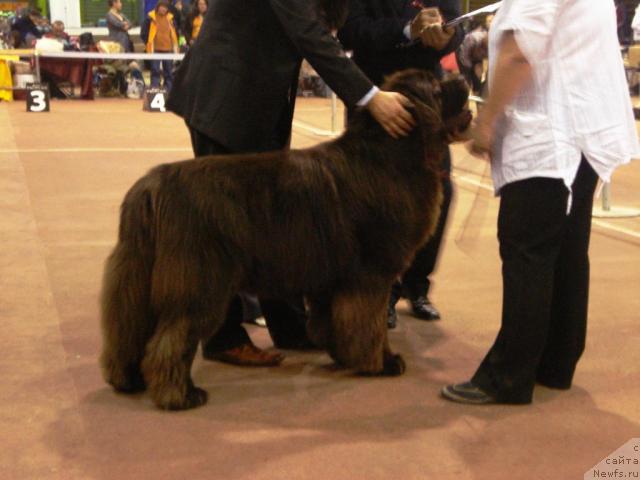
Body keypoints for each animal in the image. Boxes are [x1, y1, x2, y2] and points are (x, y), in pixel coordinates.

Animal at [100, 69, 470, 410]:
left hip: (135, 276)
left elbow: (332, 321)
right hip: (199, 280)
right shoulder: (371, 274)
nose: (463, 79)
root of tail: (151, 188)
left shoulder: (330, 277)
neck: (391, 156)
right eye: (437, 88)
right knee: (171, 337)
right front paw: (382, 362)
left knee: (126, 329)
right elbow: (370, 324)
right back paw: (180, 396)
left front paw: (341, 354)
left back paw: (128, 380)